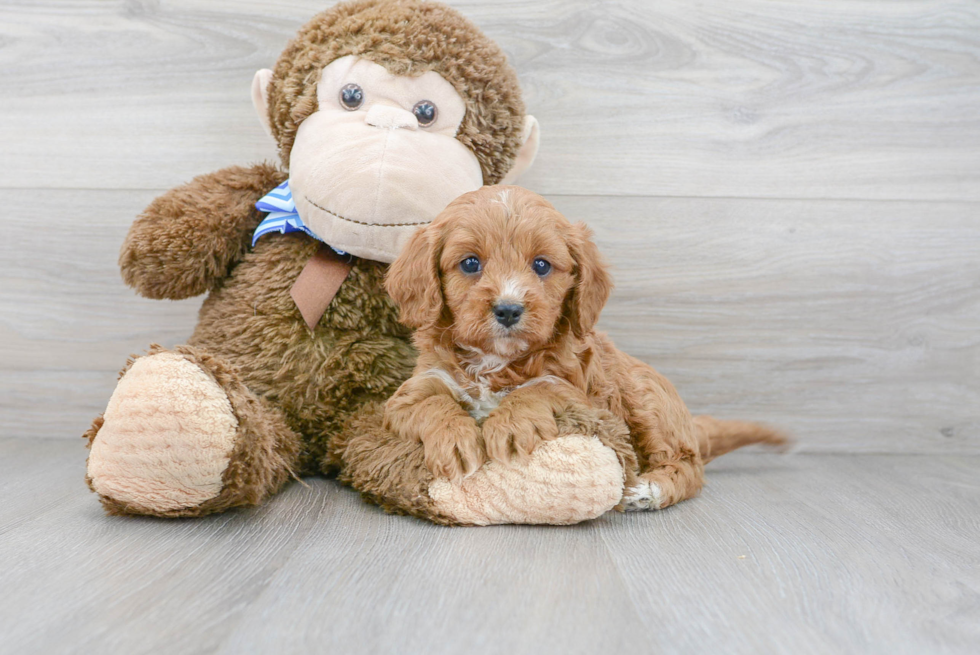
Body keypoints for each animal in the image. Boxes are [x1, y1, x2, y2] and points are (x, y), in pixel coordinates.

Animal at [384, 184, 788, 512]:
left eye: (541, 265)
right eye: (470, 263)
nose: (509, 309)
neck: (498, 362)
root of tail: (689, 422)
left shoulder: (584, 398)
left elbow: (541, 388)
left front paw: (510, 424)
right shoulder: (412, 391)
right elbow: (430, 403)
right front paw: (455, 439)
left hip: (648, 401)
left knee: (689, 465)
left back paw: (650, 490)